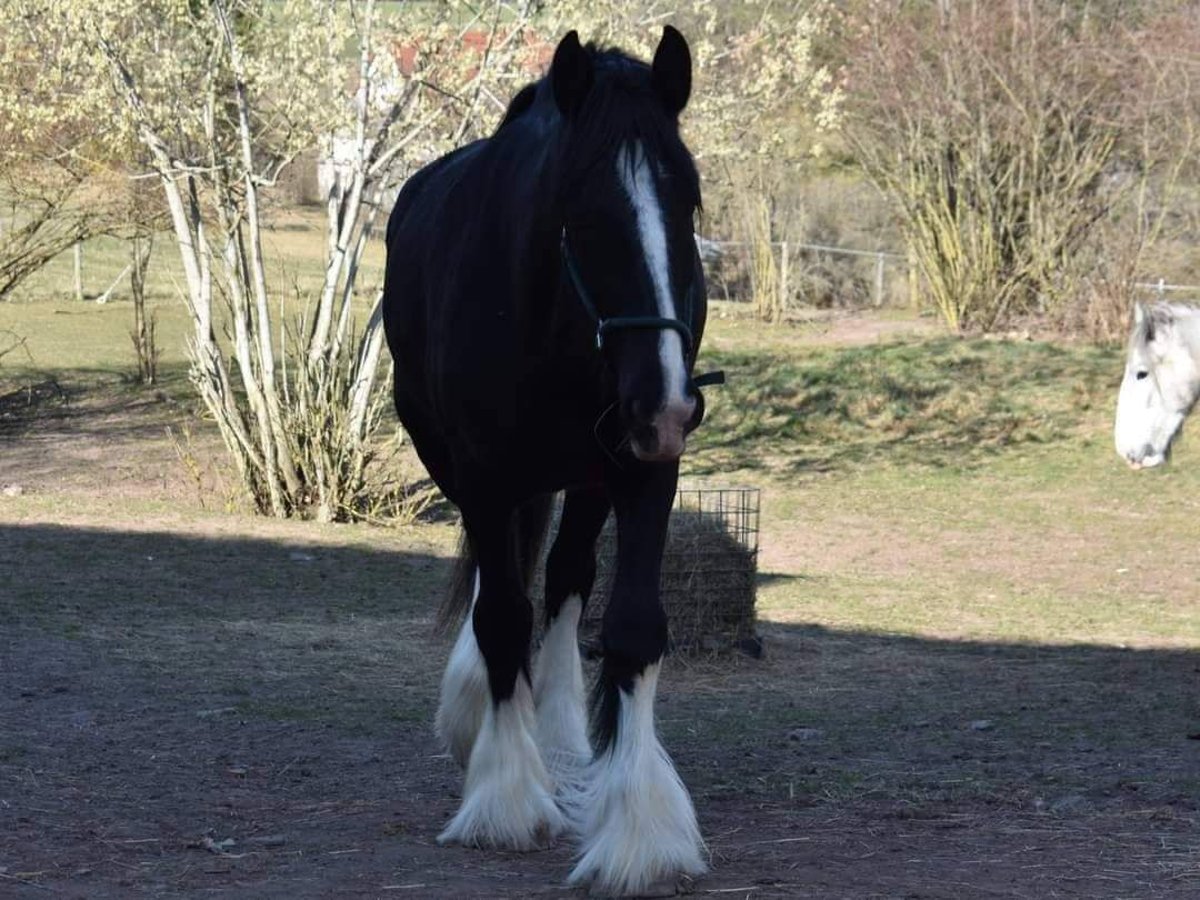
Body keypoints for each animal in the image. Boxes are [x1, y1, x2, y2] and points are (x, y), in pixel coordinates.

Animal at [381, 26, 710, 897]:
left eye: (690, 203)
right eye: (582, 211)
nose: (665, 402)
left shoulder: (643, 469)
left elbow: (630, 628)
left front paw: (639, 832)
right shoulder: (485, 476)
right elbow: (500, 615)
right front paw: (504, 799)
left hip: (589, 474)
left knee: (564, 579)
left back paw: (562, 746)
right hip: (462, 464)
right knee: (502, 586)